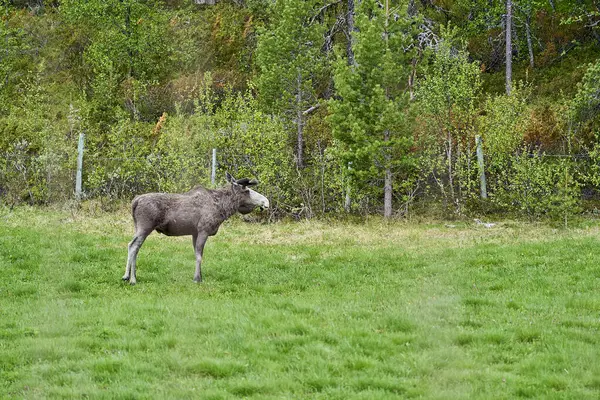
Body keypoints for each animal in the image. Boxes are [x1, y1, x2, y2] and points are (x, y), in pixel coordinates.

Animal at [123, 172, 268, 284]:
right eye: (247, 190)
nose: (266, 201)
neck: (223, 208)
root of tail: (135, 201)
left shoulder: (194, 233)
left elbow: (196, 254)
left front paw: (200, 276)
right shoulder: (203, 230)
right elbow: (199, 255)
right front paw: (197, 278)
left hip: (138, 226)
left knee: (131, 245)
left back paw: (126, 276)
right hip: (145, 227)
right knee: (134, 246)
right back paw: (132, 279)